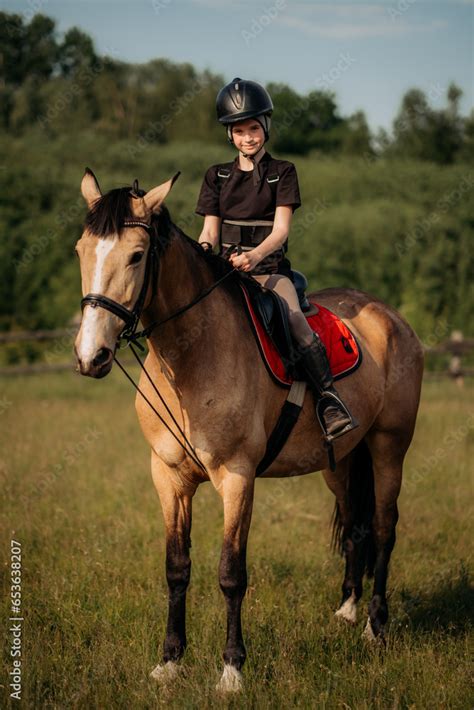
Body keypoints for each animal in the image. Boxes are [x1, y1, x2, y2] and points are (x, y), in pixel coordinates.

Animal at [75, 170, 426, 692]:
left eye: (136, 256)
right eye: (81, 250)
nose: (90, 356)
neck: (192, 356)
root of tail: (392, 318)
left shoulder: (236, 477)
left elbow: (230, 573)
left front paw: (231, 669)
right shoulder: (169, 477)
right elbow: (176, 568)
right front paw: (169, 662)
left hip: (389, 446)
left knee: (383, 528)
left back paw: (375, 628)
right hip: (340, 459)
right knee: (356, 525)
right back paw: (346, 611)